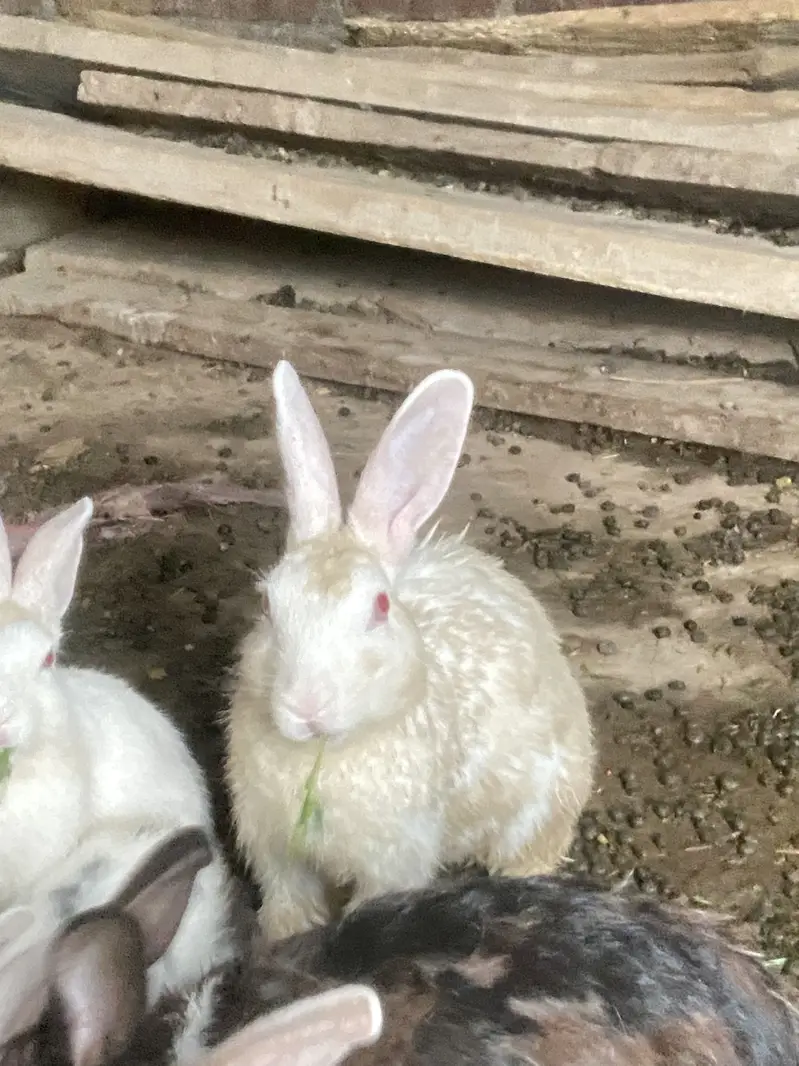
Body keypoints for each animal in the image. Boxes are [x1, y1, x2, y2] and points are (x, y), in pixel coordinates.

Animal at [225, 359, 596, 940]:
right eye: (267, 603)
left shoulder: (394, 859)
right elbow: (290, 904)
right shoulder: (277, 853)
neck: (324, 755)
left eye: (379, 605)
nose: (307, 708)